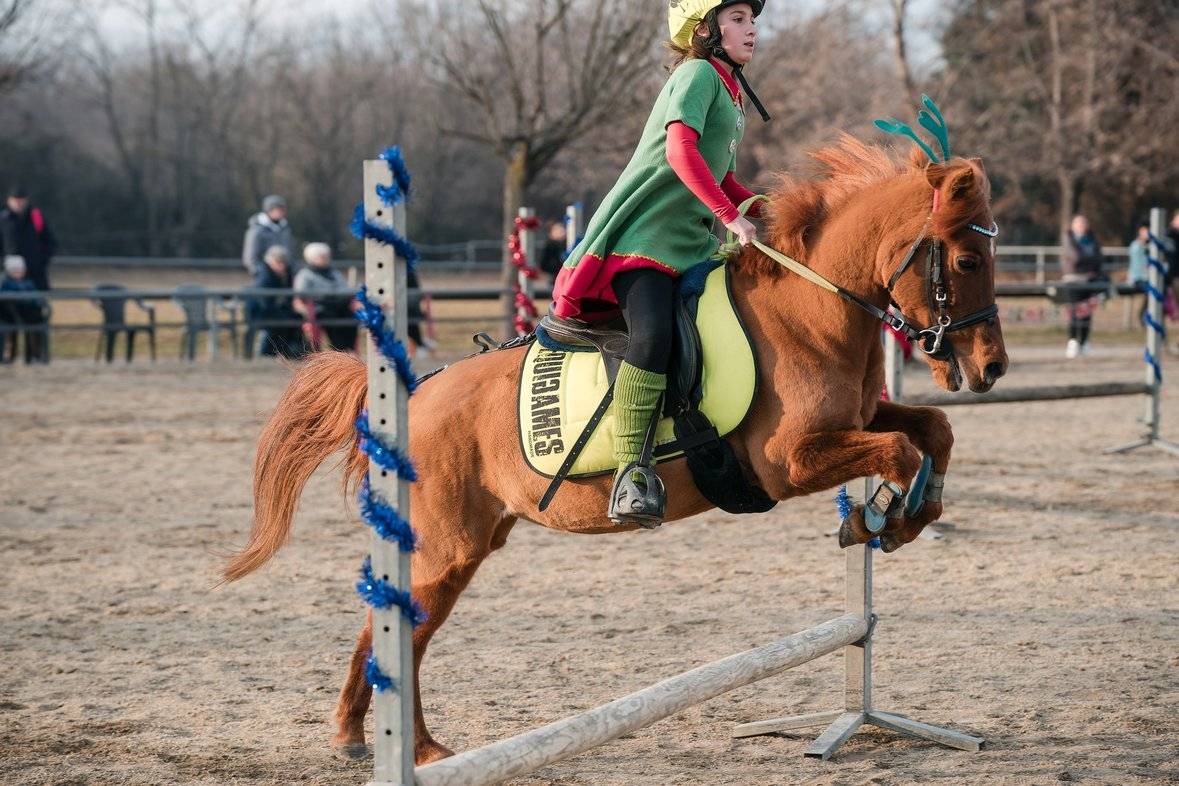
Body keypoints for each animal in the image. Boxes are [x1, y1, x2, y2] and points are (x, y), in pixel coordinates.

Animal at [222, 135, 1008, 764]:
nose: (991, 368)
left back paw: (387, 741)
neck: (810, 310)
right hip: (447, 548)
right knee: (399, 629)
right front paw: (886, 518)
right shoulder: (788, 462)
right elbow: (898, 452)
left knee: (399, 632)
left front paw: (904, 515)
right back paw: (390, 743)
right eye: (968, 259)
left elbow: (930, 433)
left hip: (464, 547)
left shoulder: (857, 420)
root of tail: (409, 396)